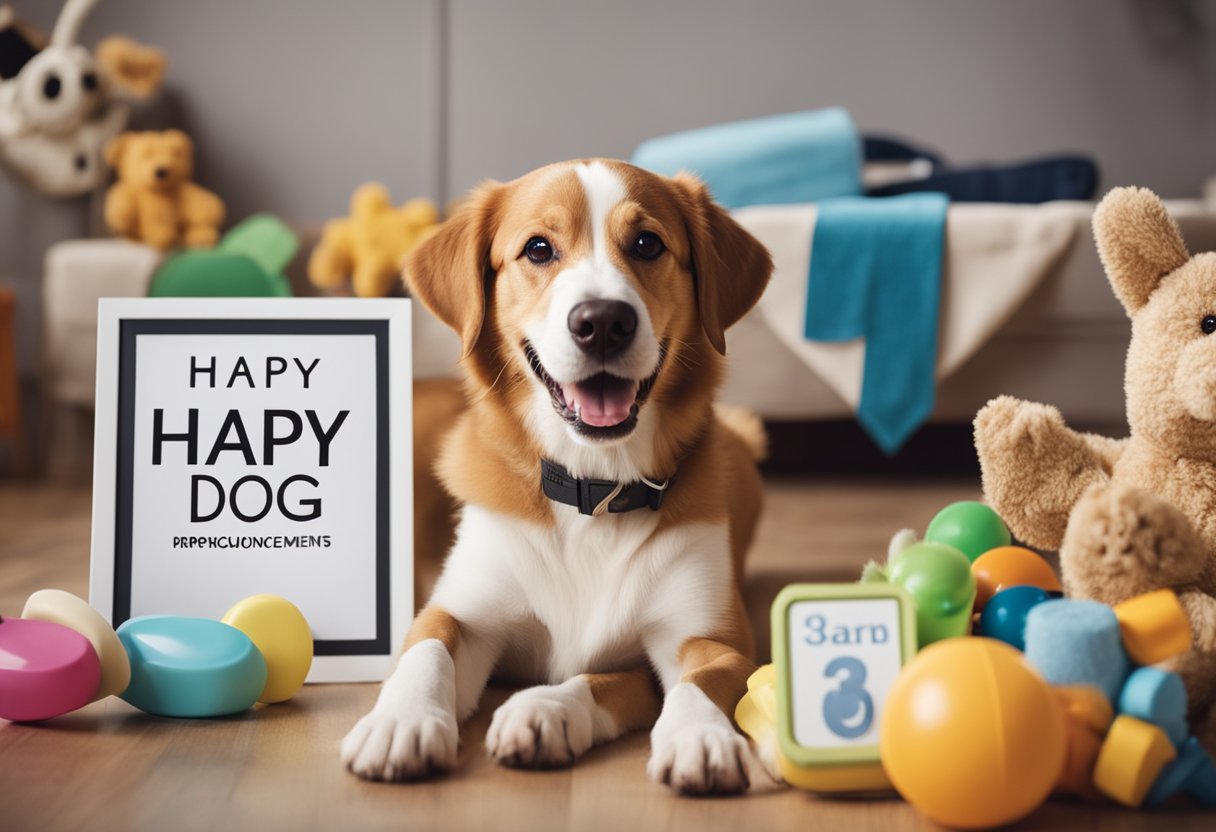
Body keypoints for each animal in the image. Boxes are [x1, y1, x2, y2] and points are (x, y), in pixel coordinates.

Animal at [340, 158, 768, 793]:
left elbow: (691, 683)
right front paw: (401, 719)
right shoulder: (464, 610)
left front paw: (695, 735)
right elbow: (428, 645)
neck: (594, 488)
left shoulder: (713, 641)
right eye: (539, 249)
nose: (603, 321)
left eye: (648, 244)